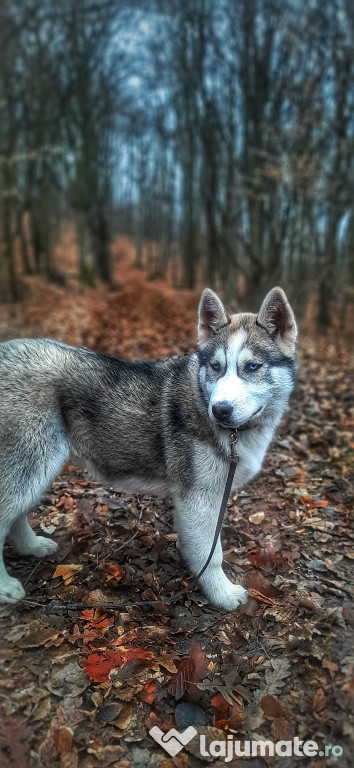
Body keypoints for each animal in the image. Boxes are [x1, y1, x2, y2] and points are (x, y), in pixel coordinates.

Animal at [0, 284, 298, 608]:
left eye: (252, 367)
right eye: (216, 367)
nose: (219, 410)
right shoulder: (198, 497)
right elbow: (211, 554)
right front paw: (222, 594)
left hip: (36, 471)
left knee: (16, 515)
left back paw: (31, 546)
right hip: (28, 466)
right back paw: (5, 586)